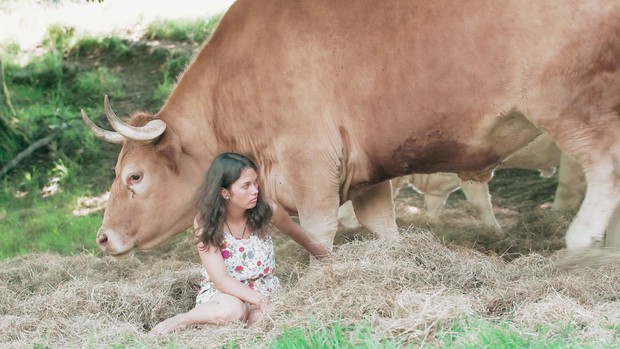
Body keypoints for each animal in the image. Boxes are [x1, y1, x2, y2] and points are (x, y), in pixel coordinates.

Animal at [83, 0, 620, 256]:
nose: (103, 239)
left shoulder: (311, 168)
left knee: (604, 169)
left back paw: (581, 241)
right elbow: (384, 230)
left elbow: (320, 234)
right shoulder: (367, 177)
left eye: (134, 176)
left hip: (572, 104)